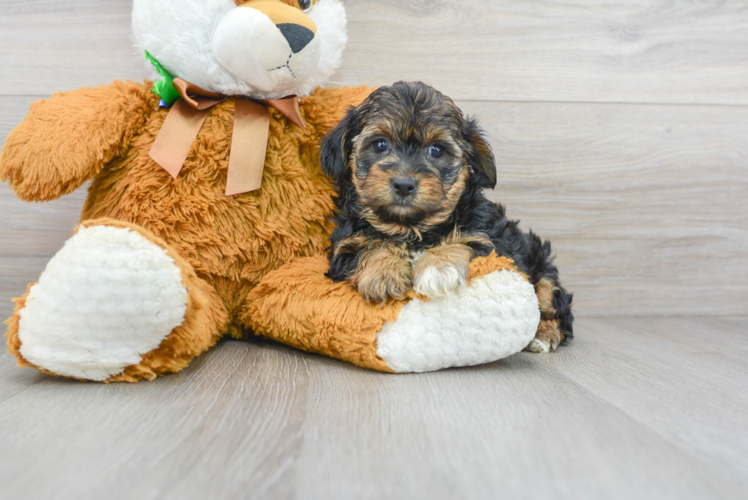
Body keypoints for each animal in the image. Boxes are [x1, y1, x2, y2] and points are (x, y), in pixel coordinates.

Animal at [320, 81, 572, 352]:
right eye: (379, 145)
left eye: (437, 150)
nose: (404, 184)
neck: (411, 228)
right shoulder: (344, 247)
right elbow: (368, 246)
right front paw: (383, 273)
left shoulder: (492, 244)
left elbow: (463, 242)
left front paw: (438, 268)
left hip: (542, 267)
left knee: (555, 306)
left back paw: (543, 336)